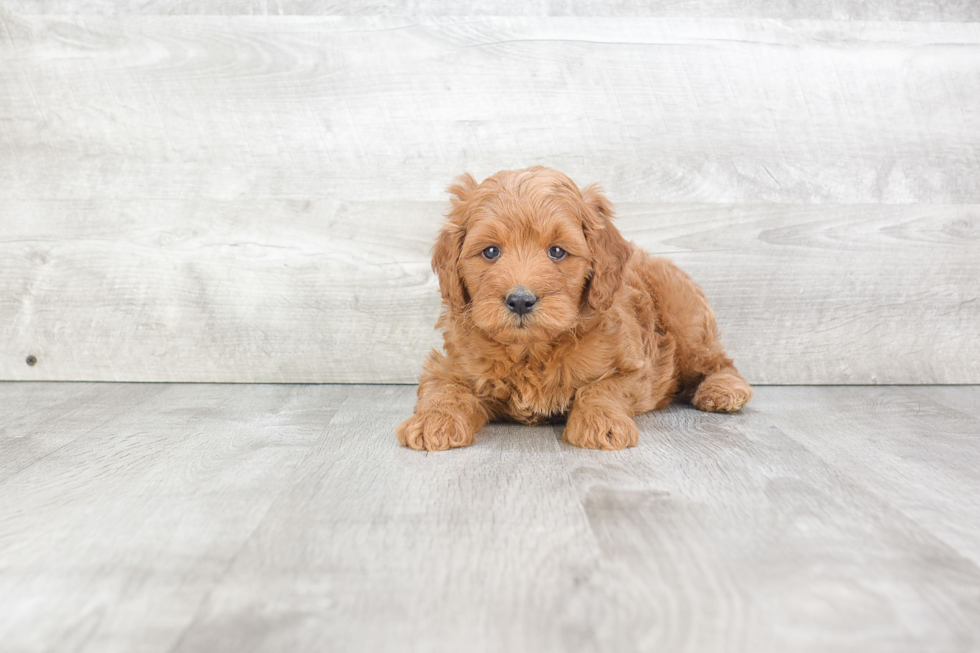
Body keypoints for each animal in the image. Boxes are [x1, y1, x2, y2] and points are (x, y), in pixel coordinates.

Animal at [396, 166, 752, 450]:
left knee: (718, 361)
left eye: (557, 251)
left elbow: (601, 388)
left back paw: (723, 390)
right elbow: (445, 390)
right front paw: (433, 422)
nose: (520, 300)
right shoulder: (448, 366)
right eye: (491, 251)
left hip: (685, 318)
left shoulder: (634, 368)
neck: (531, 350)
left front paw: (600, 423)